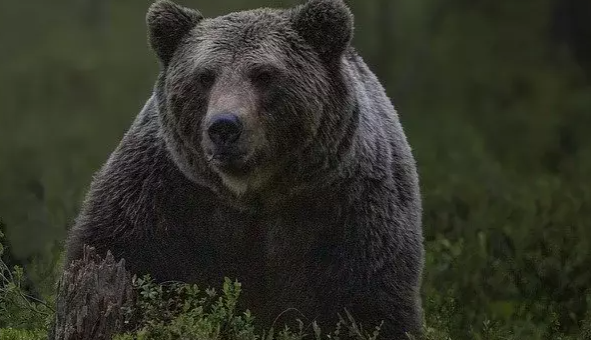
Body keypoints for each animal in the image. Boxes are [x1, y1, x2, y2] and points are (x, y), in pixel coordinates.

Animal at [65, 0, 426, 338]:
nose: (224, 127)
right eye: (205, 76)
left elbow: (368, 302)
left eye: (264, 74)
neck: (252, 192)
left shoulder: (348, 208)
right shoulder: (162, 194)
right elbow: (124, 256)